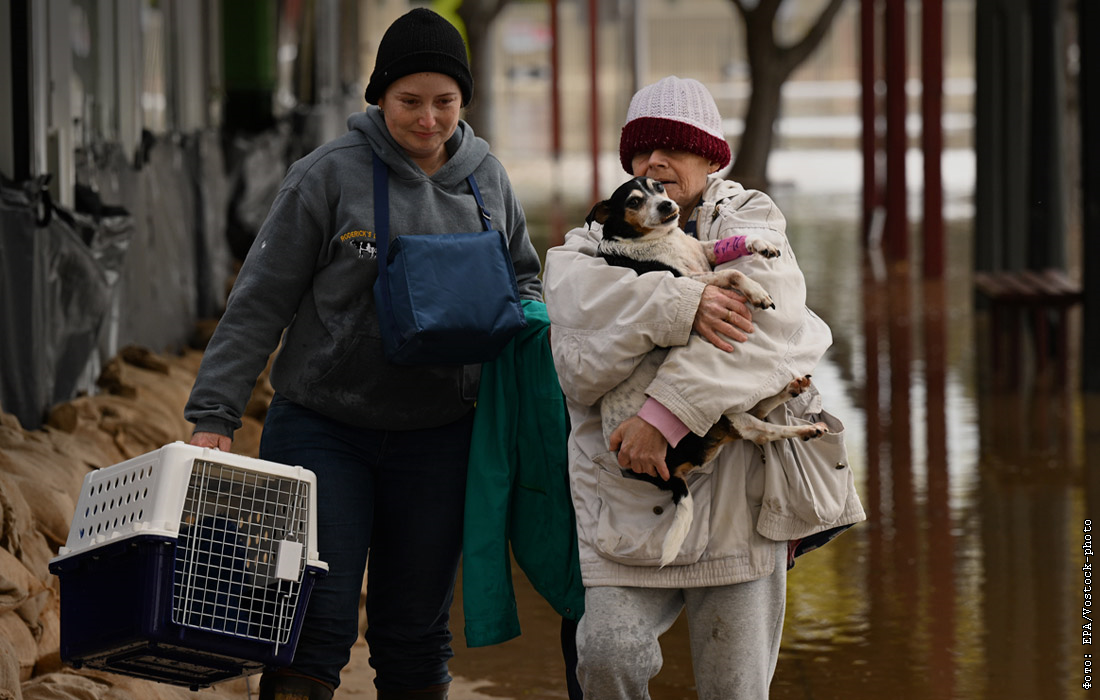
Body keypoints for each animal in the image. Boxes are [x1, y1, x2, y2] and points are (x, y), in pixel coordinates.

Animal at [594, 176, 827, 567]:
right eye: (634, 201)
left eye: (660, 187)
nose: (667, 206)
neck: (656, 240)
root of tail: (667, 476)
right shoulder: (691, 280)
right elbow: (732, 272)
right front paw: (758, 291)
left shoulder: (703, 255)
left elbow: (726, 247)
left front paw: (761, 245)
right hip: (721, 421)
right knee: (760, 430)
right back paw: (807, 428)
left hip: (726, 415)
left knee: (757, 412)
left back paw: (792, 389)